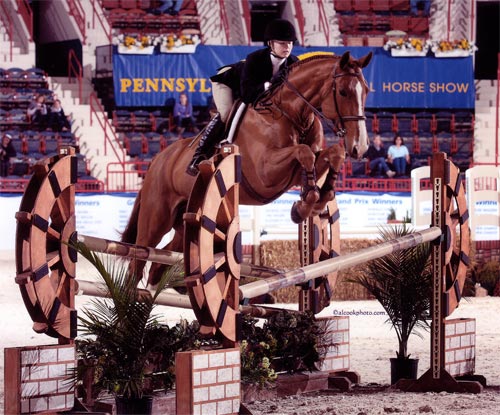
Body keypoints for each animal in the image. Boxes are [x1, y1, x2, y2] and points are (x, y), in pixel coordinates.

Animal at [121, 51, 372, 286]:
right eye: (343, 92)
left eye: (367, 91)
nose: (360, 147)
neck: (291, 113)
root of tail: (157, 159)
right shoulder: (266, 173)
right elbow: (304, 152)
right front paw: (304, 206)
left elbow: (332, 154)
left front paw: (317, 199)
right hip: (156, 218)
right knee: (138, 259)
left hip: (186, 222)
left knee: (158, 264)